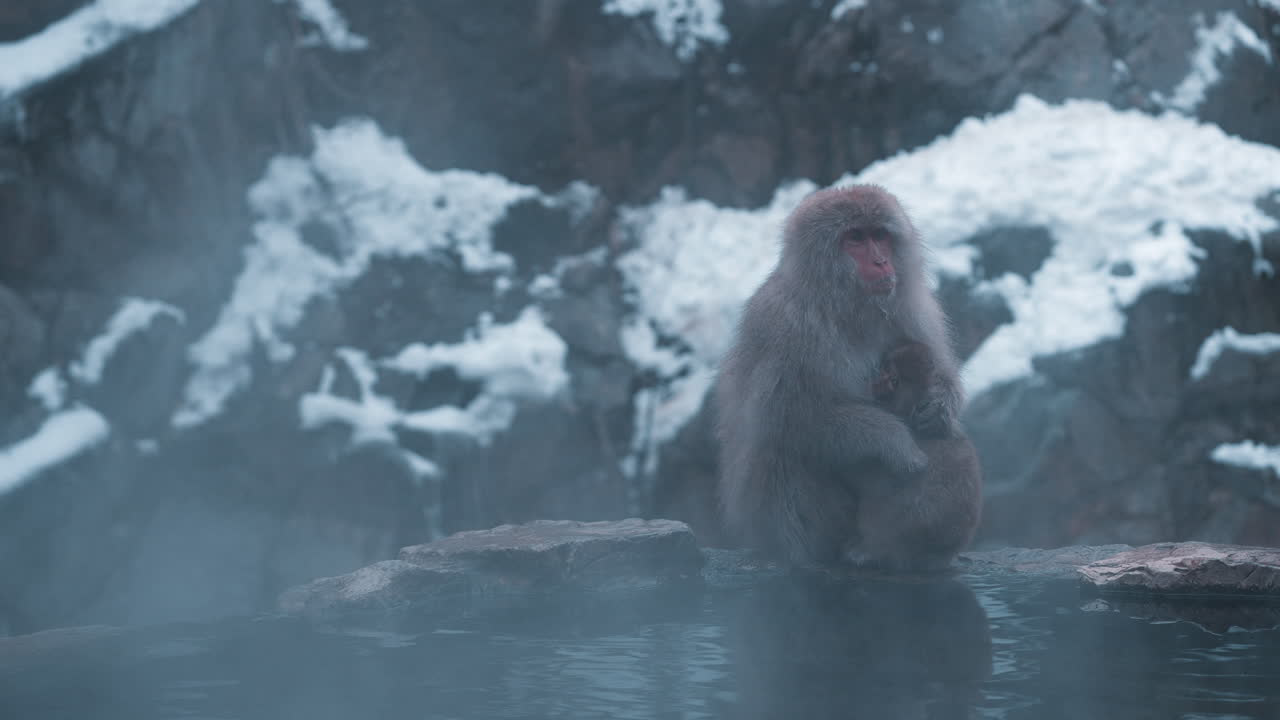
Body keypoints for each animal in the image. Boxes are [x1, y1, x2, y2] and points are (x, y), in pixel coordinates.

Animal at [714, 184, 964, 566]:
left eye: (880, 235)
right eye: (855, 238)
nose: (880, 262)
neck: (846, 307)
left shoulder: (915, 309)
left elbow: (936, 367)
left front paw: (940, 404)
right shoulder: (785, 325)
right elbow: (787, 419)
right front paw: (893, 439)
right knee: (788, 454)